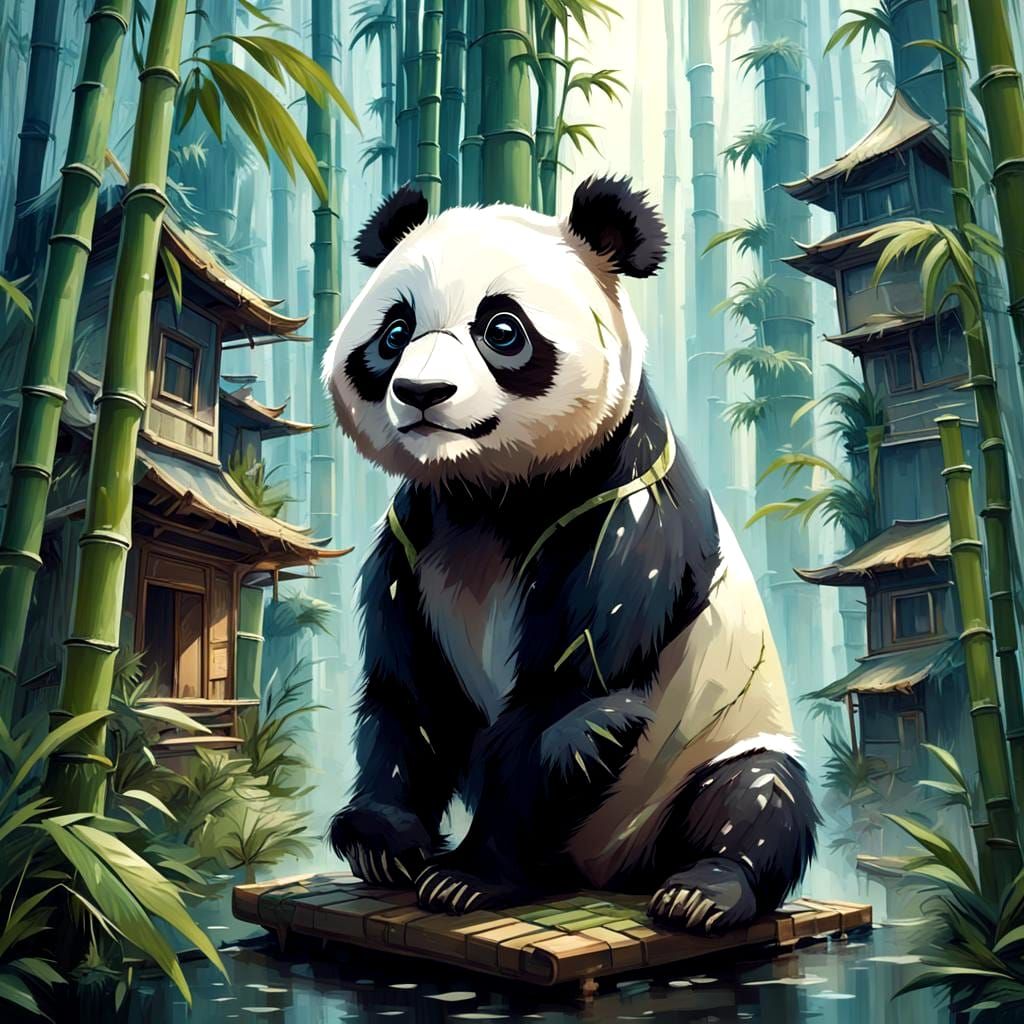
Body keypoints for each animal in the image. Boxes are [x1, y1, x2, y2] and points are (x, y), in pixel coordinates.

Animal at [322, 177, 818, 933]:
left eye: (502, 329)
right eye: (394, 333)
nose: (421, 393)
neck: (489, 493)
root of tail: (607, 870)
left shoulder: (623, 510)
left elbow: (565, 697)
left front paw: (467, 877)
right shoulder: (412, 535)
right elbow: (408, 692)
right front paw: (381, 842)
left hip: (714, 746)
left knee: (754, 794)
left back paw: (703, 890)